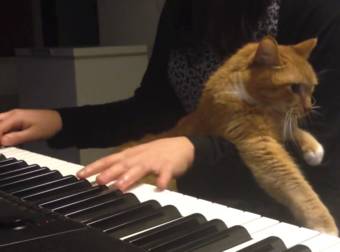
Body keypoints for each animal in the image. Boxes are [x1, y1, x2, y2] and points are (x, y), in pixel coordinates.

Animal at [119, 36, 338, 235]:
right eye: (294, 87)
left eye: (312, 88)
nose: (309, 107)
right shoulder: (260, 145)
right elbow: (297, 186)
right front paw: (326, 228)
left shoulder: (278, 126)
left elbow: (293, 129)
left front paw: (313, 149)